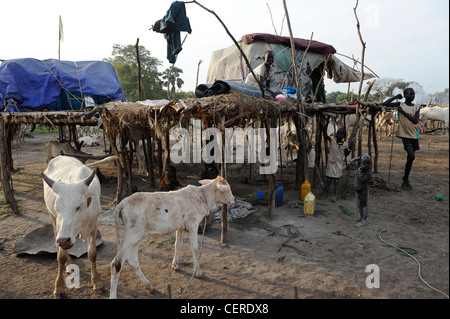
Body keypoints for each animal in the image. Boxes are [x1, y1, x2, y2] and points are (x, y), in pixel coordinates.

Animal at [40, 156, 102, 298]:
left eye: (78, 206)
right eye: (58, 208)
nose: (64, 240)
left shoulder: (94, 224)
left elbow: (92, 254)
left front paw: (96, 283)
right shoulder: (60, 228)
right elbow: (61, 257)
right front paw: (59, 287)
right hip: (53, 220)